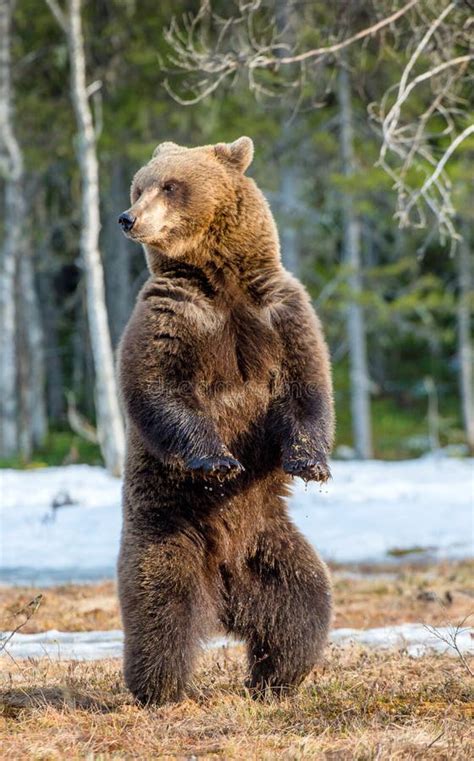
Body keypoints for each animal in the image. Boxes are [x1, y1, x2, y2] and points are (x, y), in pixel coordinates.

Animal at [117, 138, 336, 708]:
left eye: (169, 185)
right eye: (138, 186)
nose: (128, 218)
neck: (221, 280)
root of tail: (223, 590)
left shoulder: (279, 311)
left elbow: (307, 385)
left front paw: (312, 464)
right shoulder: (174, 315)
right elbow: (159, 388)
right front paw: (217, 461)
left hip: (269, 546)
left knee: (303, 607)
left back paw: (273, 680)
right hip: (168, 529)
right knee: (160, 609)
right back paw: (160, 689)